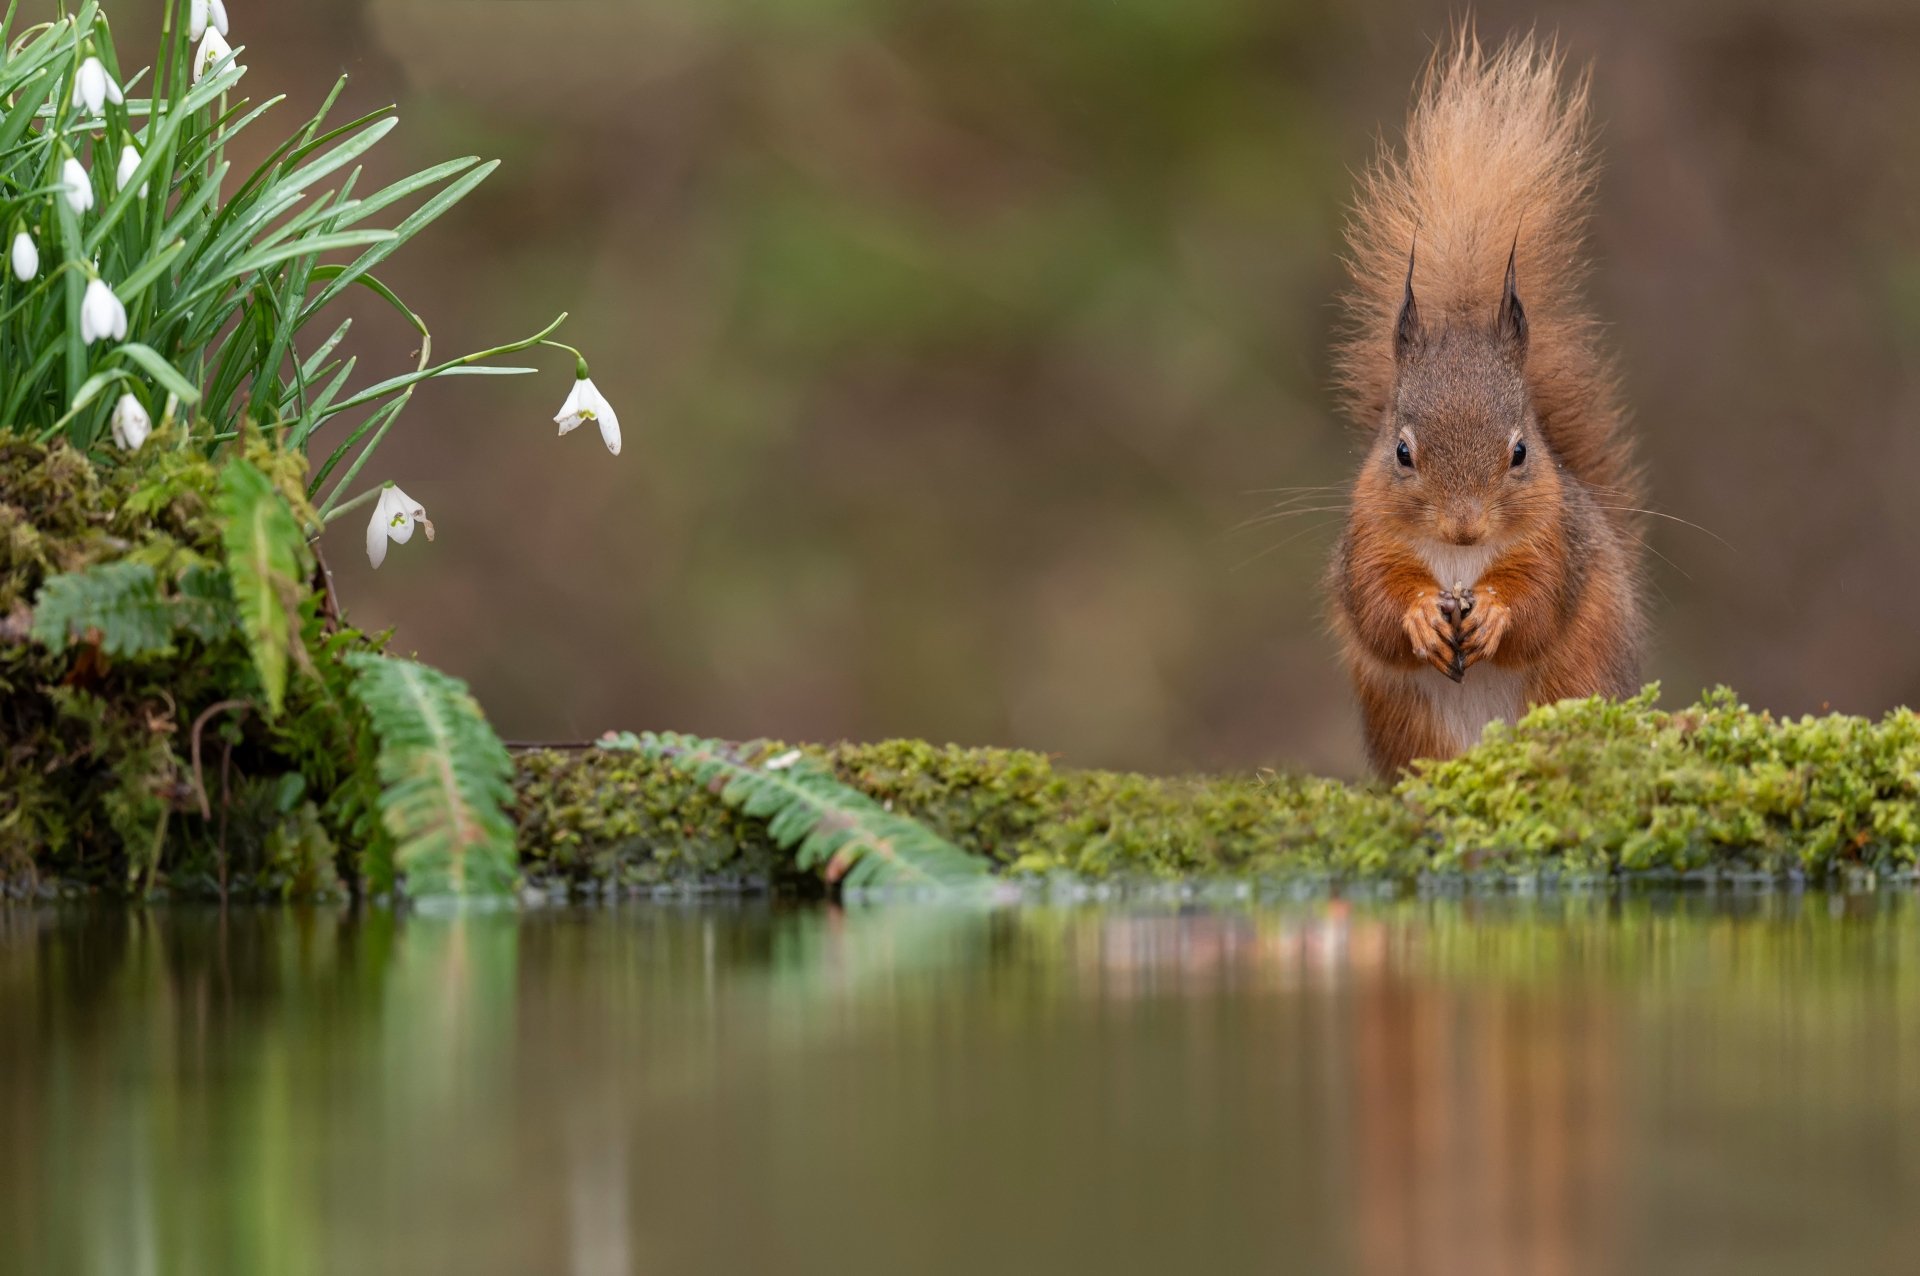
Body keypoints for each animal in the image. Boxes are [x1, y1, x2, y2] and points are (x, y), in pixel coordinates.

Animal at [1328, 34, 1643, 775]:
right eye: (1402, 452)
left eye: (1521, 451)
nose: (1465, 526)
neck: (1460, 564)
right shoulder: (1366, 540)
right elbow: (1376, 606)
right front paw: (1419, 615)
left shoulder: (1560, 542)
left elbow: (1538, 604)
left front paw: (1496, 612)